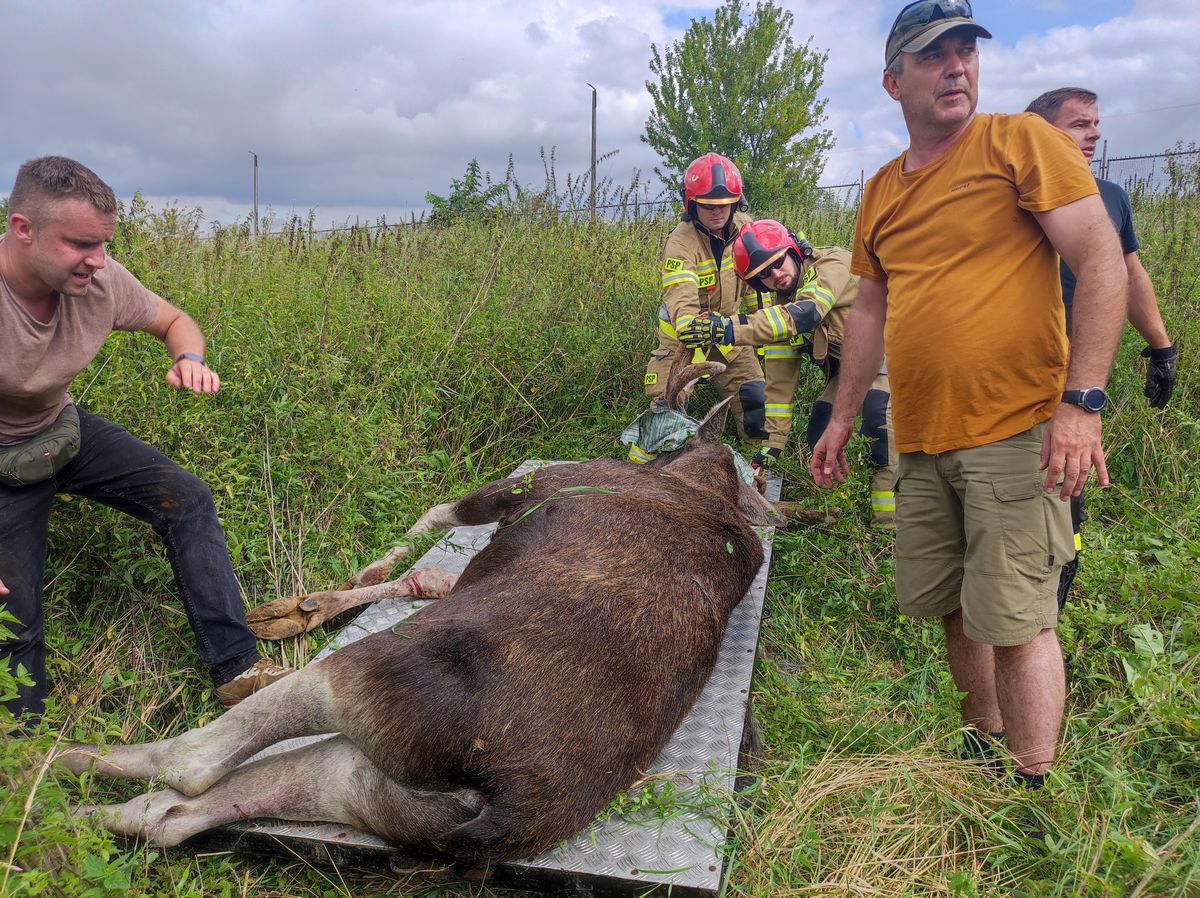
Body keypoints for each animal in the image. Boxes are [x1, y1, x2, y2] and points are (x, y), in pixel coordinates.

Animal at [58, 357, 777, 869]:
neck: (705, 482)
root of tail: (513, 804)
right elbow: (429, 572)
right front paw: (312, 602)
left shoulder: (524, 484)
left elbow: (434, 517)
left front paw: (334, 586)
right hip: (380, 790)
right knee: (180, 814)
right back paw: (79, 802)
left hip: (362, 684)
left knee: (195, 762)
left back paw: (62, 762)